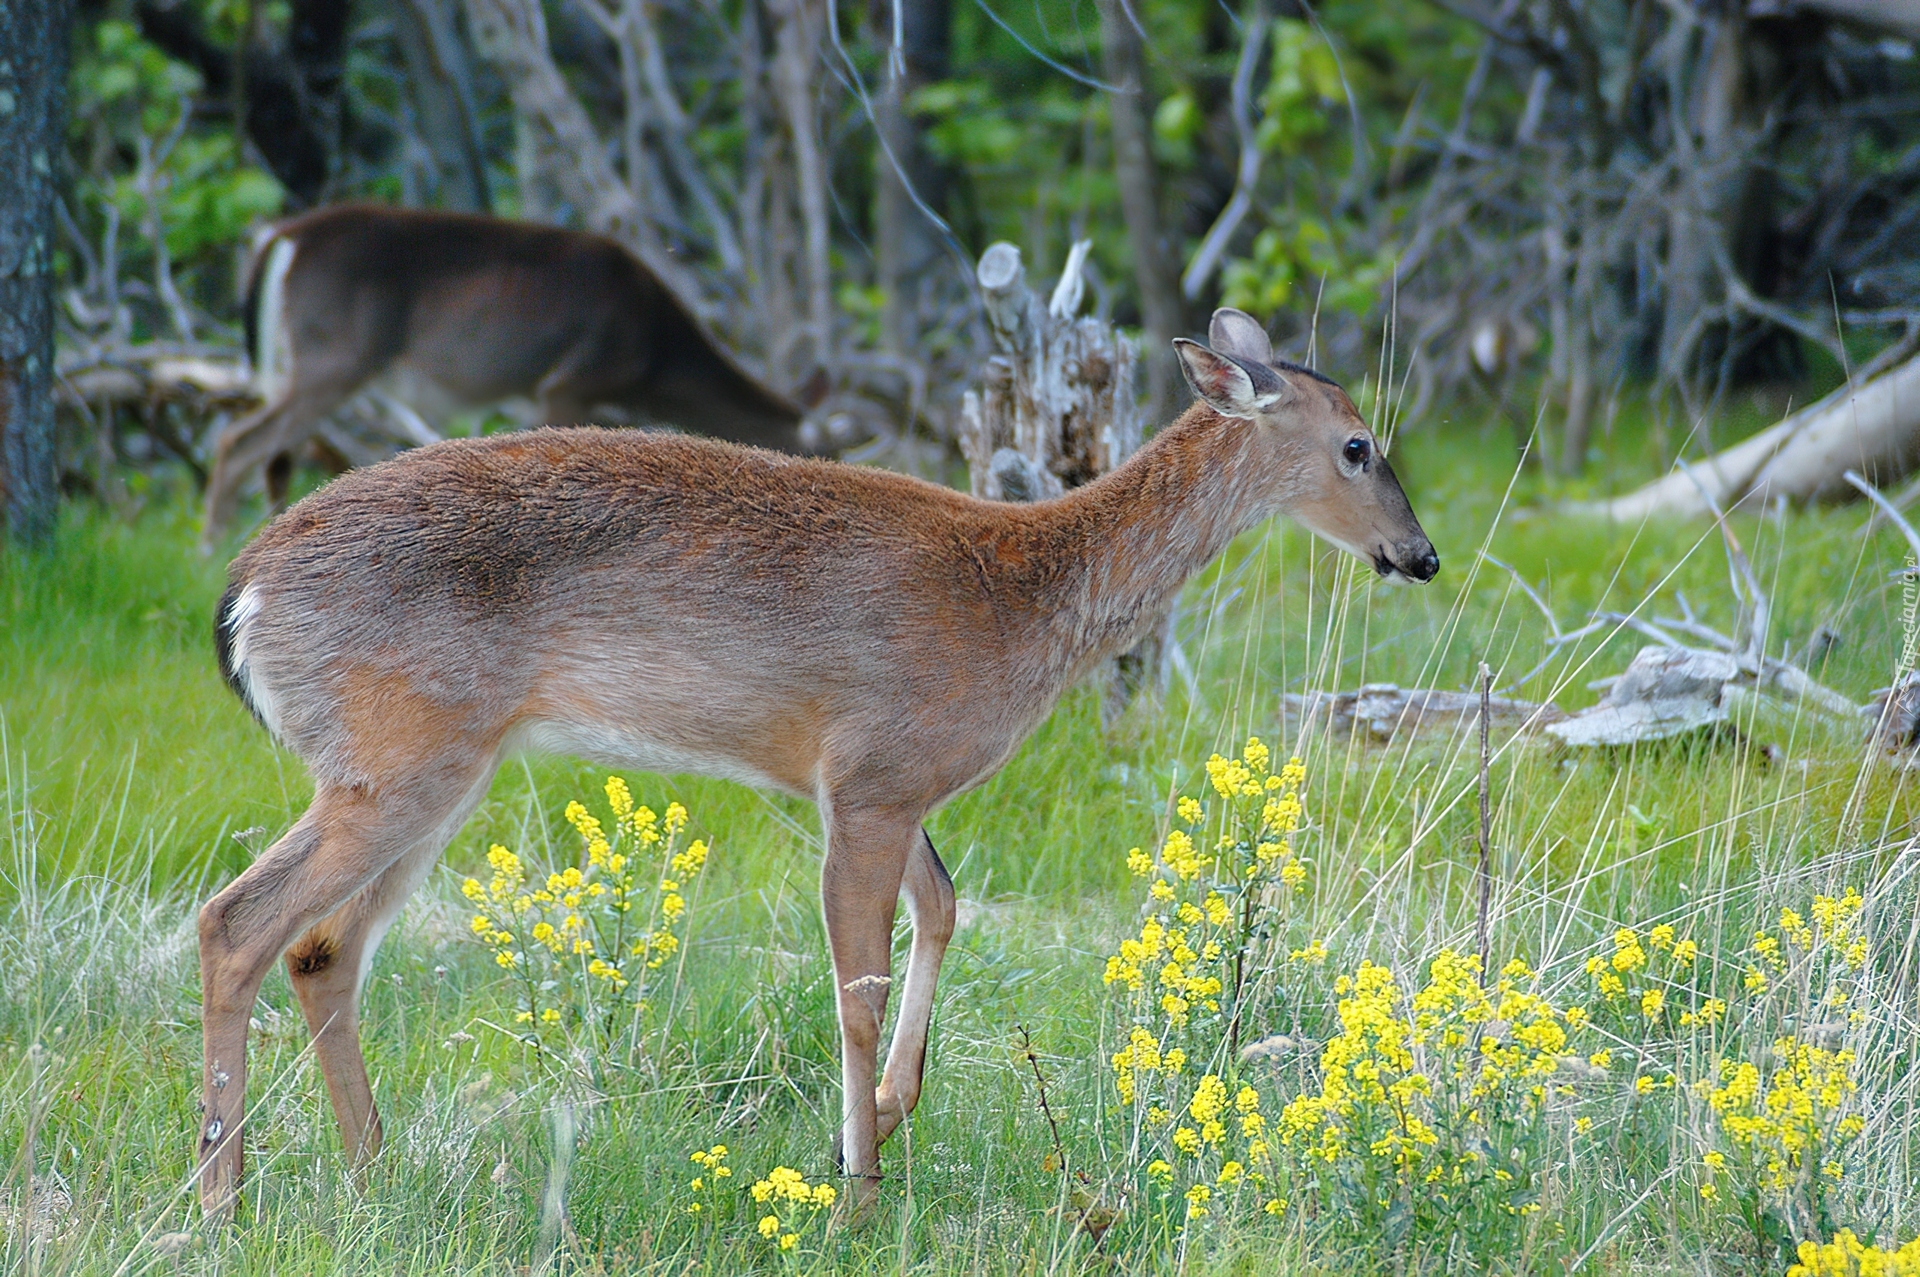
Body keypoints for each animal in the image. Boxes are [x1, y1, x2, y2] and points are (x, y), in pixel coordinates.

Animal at [194, 309, 1436, 1213]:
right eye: (1358, 444)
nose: (1419, 553)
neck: (1025, 599)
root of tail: (241, 592)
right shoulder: (875, 774)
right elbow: (857, 988)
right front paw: (857, 1192)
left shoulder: (883, 780)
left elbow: (944, 909)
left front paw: (881, 1117)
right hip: (400, 757)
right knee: (236, 920)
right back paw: (222, 1195)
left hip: (430, 771)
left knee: (321, 948)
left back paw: (371, 1171)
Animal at [198, 202, 821, 549]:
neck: (654, 355)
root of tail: (283, 236)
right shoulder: (570, 382)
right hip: (335, 356)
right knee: (241, 440)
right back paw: (211, 550)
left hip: (299, 359)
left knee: (275, 452)